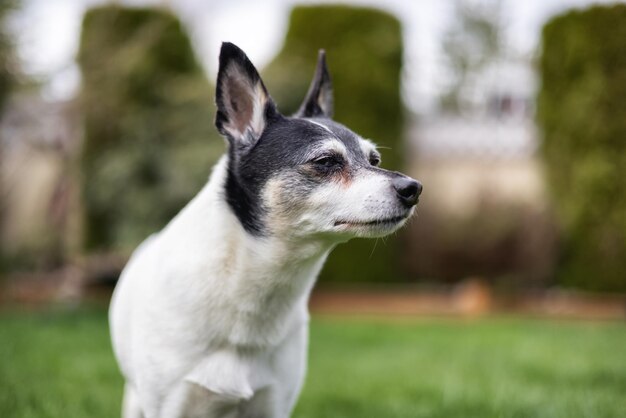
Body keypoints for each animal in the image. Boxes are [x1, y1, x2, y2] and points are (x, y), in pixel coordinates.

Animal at [108, 40, 420, 416]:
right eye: (325, 162)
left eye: (374, 160)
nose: (413, 189)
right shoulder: (169, 404)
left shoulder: (273, 404)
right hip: (136, 398)